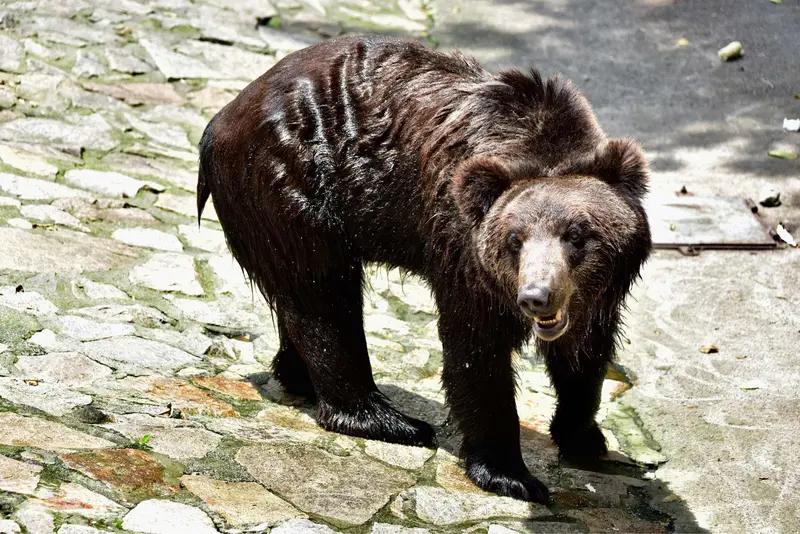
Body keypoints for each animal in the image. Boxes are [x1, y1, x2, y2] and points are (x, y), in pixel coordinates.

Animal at [197, 35, 651, 503]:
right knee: (325, 297)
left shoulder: (599, 294)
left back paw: (298, 375)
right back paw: (389, 420)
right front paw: (511, 474)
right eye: (514, 239)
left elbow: (584, 353)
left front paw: (585, 438)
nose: (536, 296)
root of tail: (218, 121)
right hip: (294, 185)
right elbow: (475, 353)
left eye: (577, 234)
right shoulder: (461, 250)